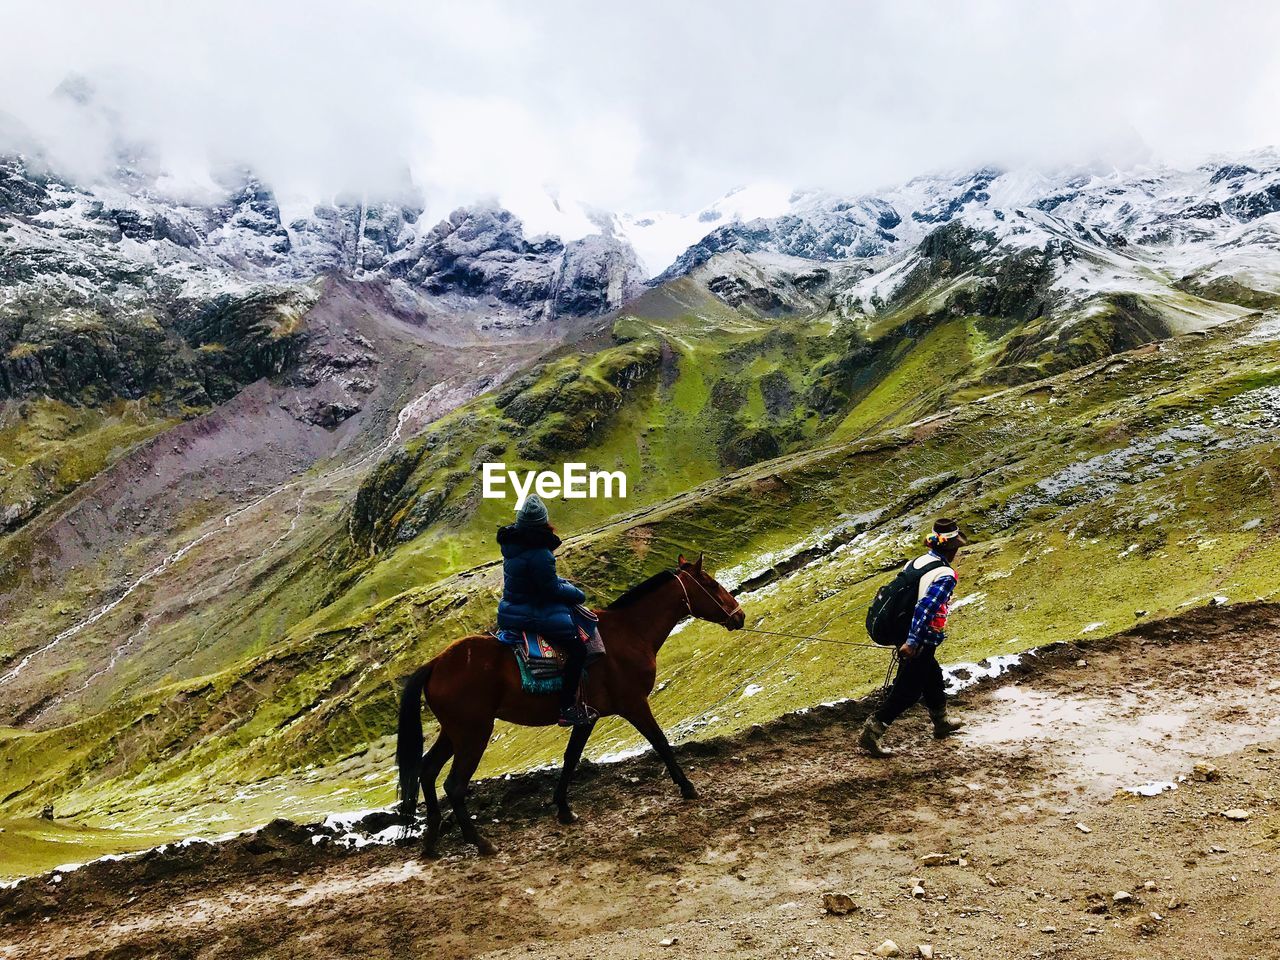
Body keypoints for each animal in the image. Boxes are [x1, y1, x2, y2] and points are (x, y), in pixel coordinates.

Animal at [394, 555, 747, 855]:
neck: (630, 633)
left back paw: (432, 841)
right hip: (473, 733)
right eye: (711, 583)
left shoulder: (586, 717)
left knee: (427, 770)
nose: (740, 616)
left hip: (454, 732)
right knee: (453, 785)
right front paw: (687, 787)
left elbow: (571, 758)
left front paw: (564, 809)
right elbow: (659, 741)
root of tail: (435, 664)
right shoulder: (633, 704)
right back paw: (480, 843)